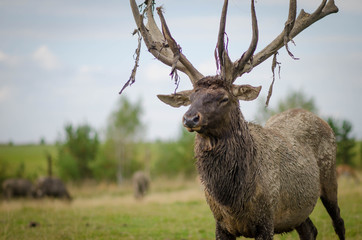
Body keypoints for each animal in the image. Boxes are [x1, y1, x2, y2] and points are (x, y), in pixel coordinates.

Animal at [125, 0, 346, 240]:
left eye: (224, 97)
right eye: (190, 98)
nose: (190, 118)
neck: (232, 200)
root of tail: (320, 120)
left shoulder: (267, 220)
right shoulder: (221, 224)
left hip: (330, 176)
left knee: (338, 221)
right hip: (298, 211)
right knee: (310, 229)